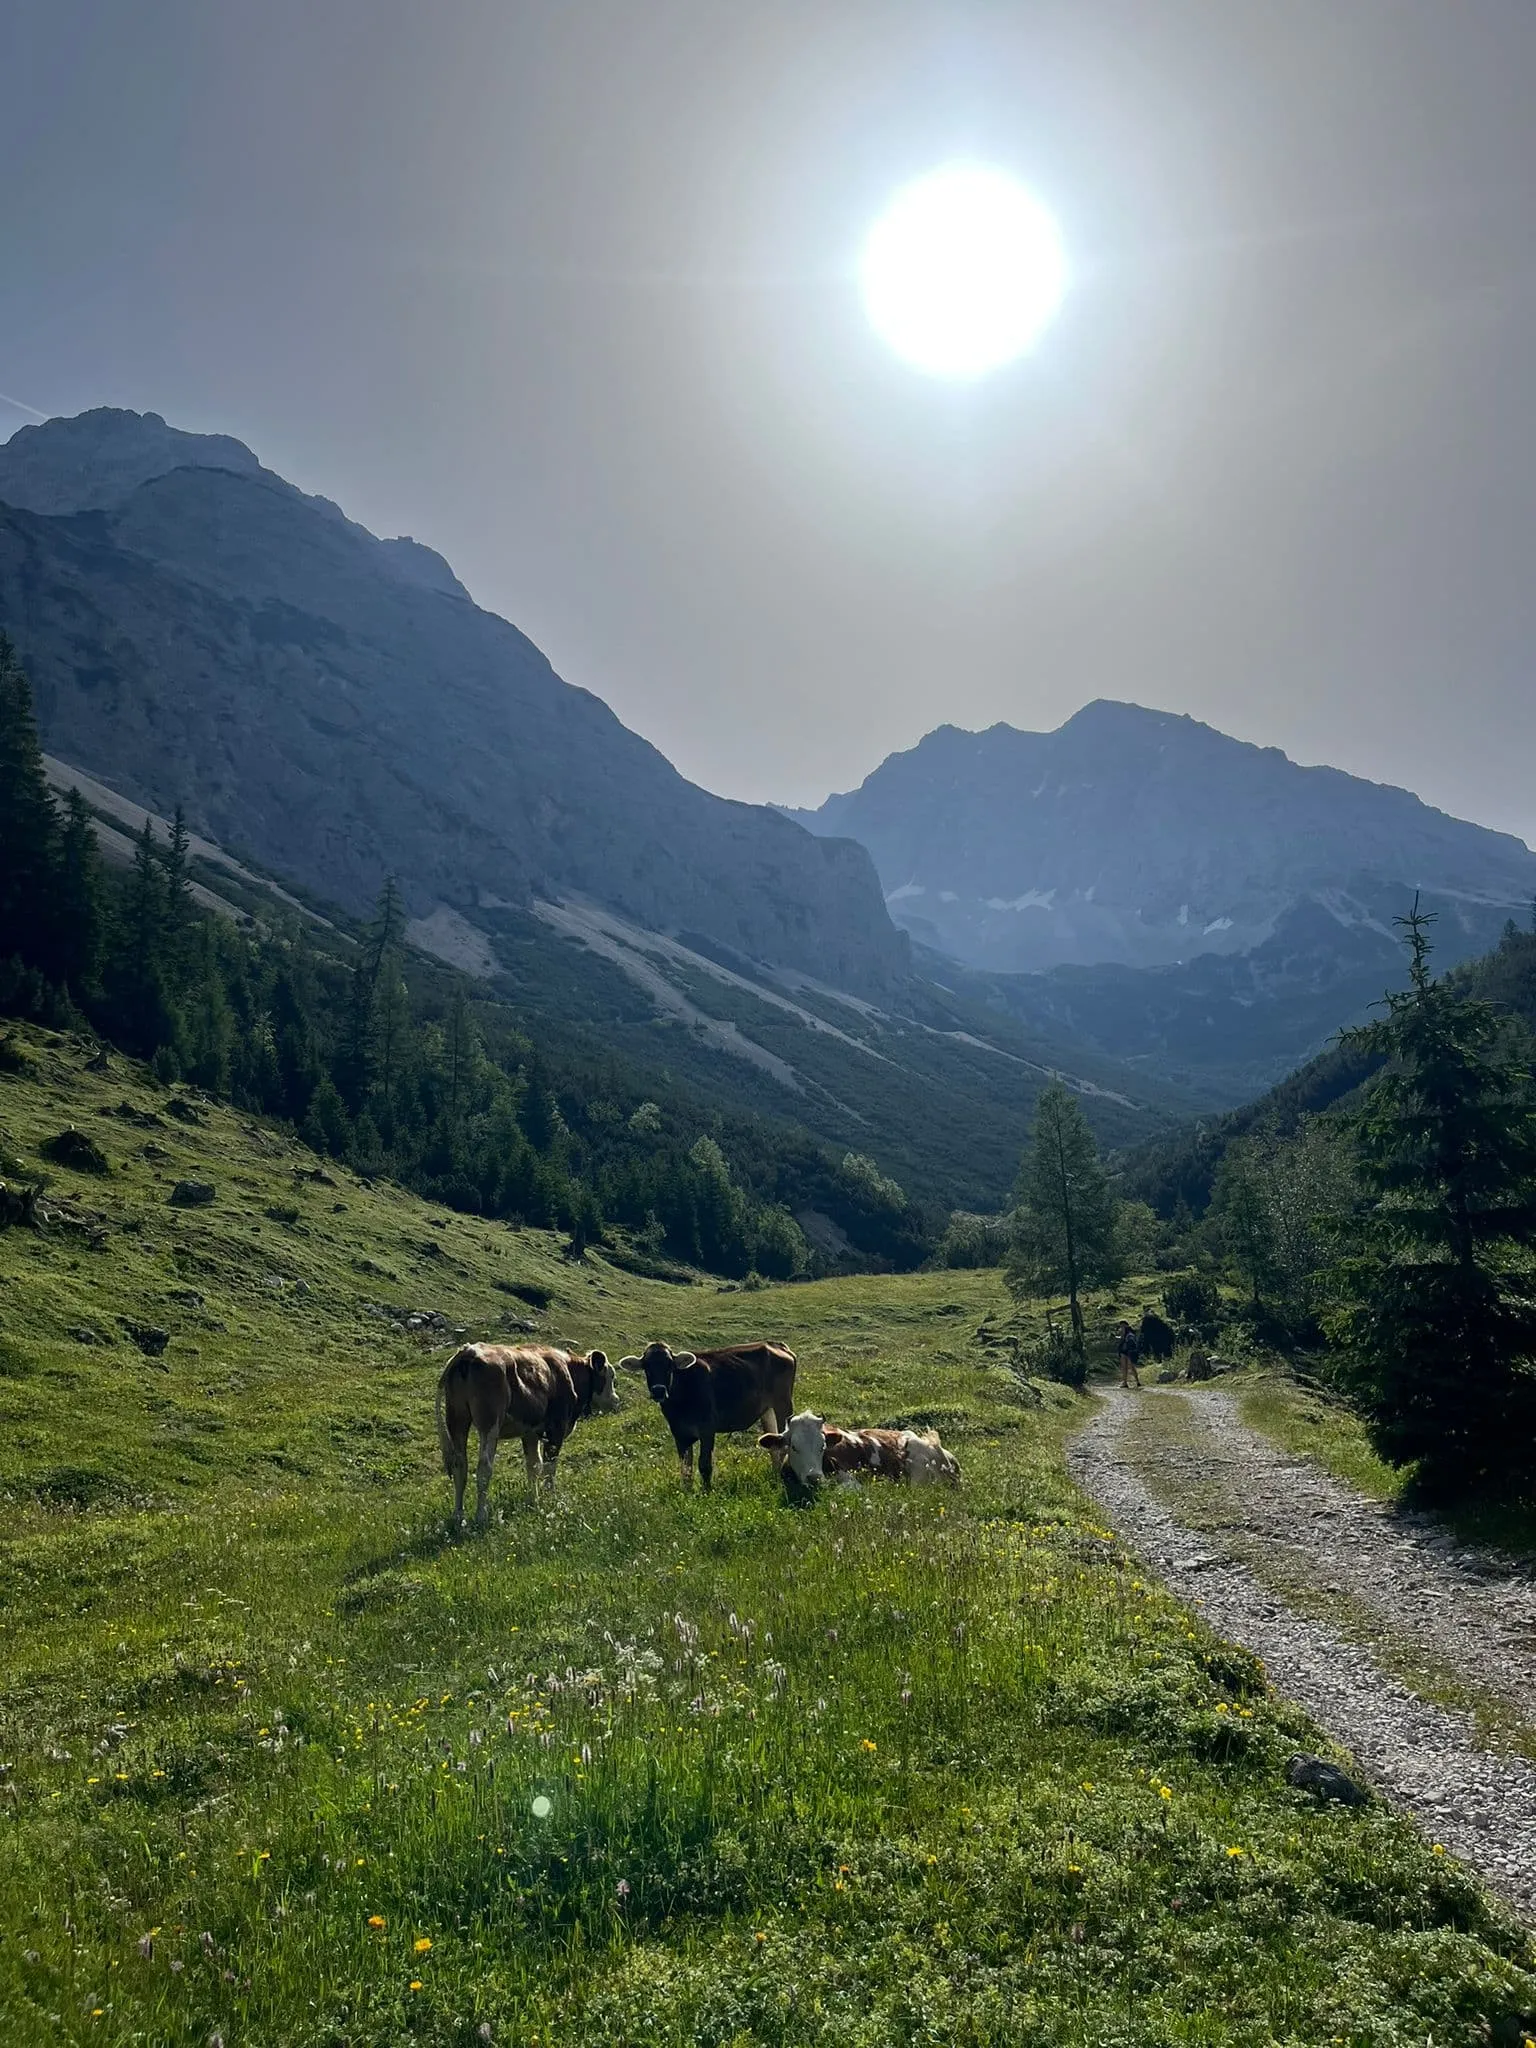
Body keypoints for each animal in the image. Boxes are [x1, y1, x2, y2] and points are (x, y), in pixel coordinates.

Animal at [434, 1335, 618, 1531]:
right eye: (611, 1376)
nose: (616, 1400)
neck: (568, 1372)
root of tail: (468, 1350)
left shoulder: (530, 1432)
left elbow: (534, 1466)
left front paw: (533, 1501)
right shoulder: (556, 1428)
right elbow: (549, 1467)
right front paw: (551, 1498)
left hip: (457, 1419)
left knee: (460, 1467)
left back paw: (458, 1517)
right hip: (489, 1424)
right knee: (484, 1468)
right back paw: (481, 1517)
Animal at [618, 1335, 798, 1499]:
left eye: (670, 1365)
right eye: (646, 1366)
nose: (658, 1391)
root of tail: (775, 1344)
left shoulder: (707, 1429)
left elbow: (704, 1464)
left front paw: (707, 1492)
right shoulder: (679, 1434)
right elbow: (686, 1468)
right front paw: (687, 1493)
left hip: (783, 1404)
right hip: (767, 1410)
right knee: (773, 1445)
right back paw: (775, 1475)